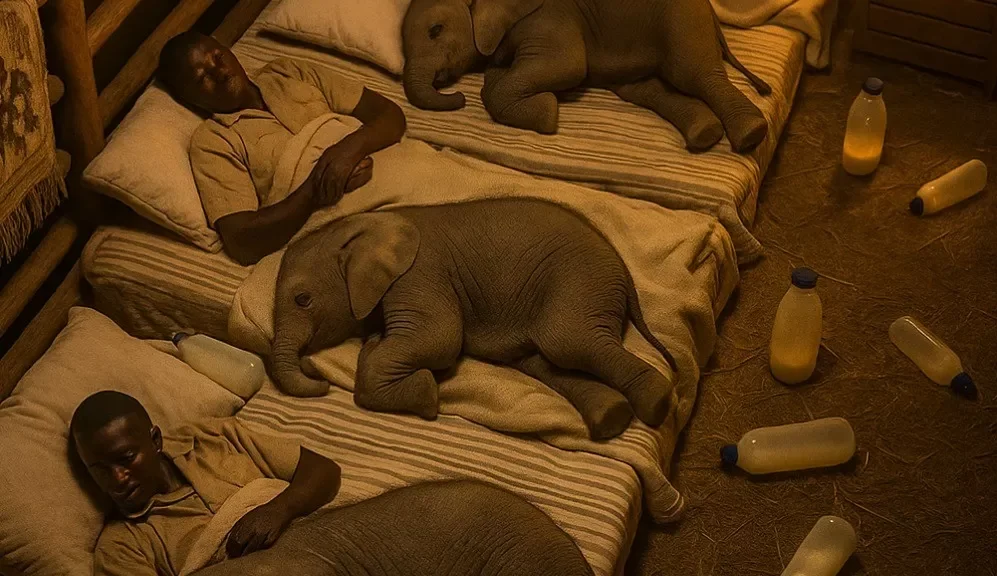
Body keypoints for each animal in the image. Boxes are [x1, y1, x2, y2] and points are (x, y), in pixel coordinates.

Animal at [270, 198, 678, 441]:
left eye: (303, 300)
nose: (313, 368)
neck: (366, 224)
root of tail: (625, 273)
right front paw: (375, 340)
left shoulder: (420, 272)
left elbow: (441, 339)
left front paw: (425, 395)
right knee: (543, 361)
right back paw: (612, 418)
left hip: (580, 285)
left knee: (566, 342)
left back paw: (657, 405)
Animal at [401, 0, 773, 153]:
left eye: (436, 30)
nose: (454, 93)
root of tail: (712, 13)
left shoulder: (548, 17)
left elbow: (567, 66)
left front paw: (549, 112)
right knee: (646, 89)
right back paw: (705, 134)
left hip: (681, 21)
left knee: (695, 74)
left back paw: (751, 135)